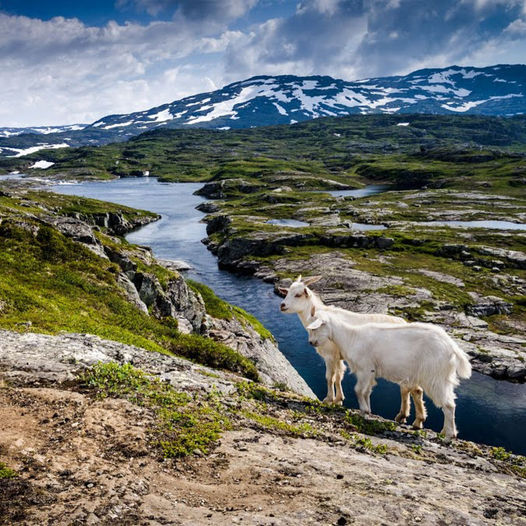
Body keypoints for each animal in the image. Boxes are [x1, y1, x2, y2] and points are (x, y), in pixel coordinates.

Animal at [280, 274, 428, 432]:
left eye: (298, 294)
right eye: (287, 292)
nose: (282, 305)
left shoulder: (330, 354)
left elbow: (329, 377)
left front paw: (328, 399)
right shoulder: (339, 356)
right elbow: (339, 376)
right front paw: (339, 399)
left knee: (410, 388)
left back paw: (413, 418)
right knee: (410, 389)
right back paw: (406, 417)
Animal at [308, 312, 472, 440]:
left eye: (316, 328)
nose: (310, 342)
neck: (351, 337)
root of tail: (453, 347)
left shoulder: (364, 368)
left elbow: (358, 390)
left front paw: (363, 410)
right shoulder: (371, 371)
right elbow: (367, 391)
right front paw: (367, 410)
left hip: (435, 376)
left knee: (449, 405)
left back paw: (449, 435)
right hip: (442, 377)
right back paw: (444, 431)